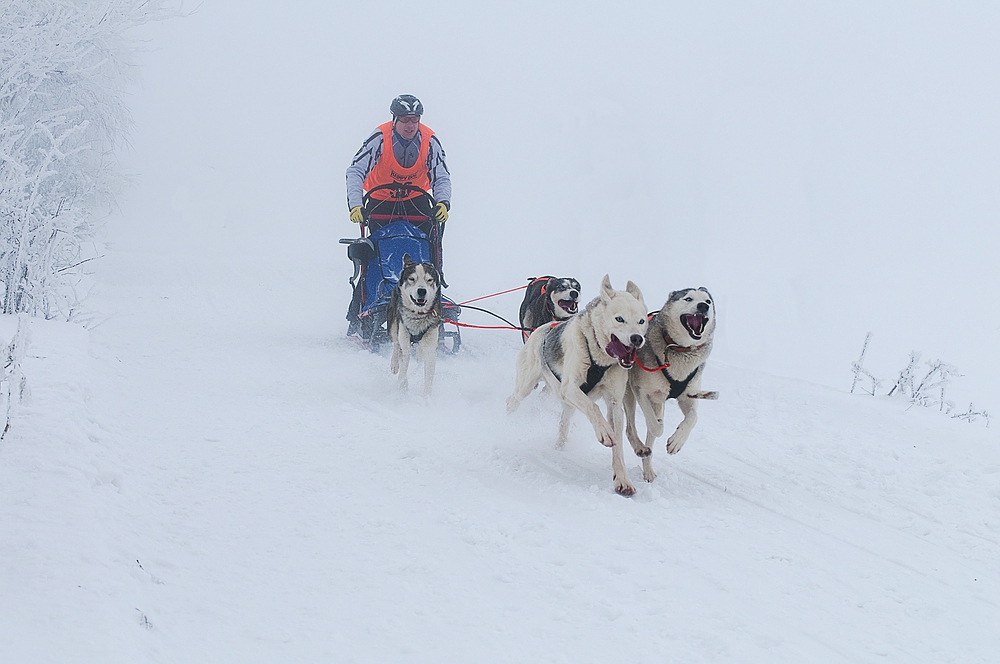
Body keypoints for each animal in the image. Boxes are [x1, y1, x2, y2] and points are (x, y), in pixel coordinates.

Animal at [386, 254, 442, 396]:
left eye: (429, 280)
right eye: (412, 279)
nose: (422, 291)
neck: (418, 315)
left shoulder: (430, 348)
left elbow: (428, 378)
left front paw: (427, 398)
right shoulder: (405, 345)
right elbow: (403, 370)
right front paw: (403, 387)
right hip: (393, 326)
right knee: (396, 343)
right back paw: (394, 363)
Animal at [508, 272, 648, 496]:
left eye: (641, 321)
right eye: (619, 319)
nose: (637, 338)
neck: (600, 358)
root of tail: (541, 329)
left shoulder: (614, 402)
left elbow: (618, 443)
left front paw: (622, 480)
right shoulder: (570, 388)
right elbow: (594, 409)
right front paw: (604, 432)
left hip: (568, 405)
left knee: (563, 425)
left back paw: (559, 446)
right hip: (526, 386)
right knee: (512, 401)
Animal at [620, 288, 716, 480]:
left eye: (708, 301)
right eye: (688, 298)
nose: (703, 306)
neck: (681, 349)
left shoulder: (688, 397)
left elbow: (693, 418)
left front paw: (676, 441)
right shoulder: (641, 390)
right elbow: (655, 426)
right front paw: (660, 426)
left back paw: (648, 471)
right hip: (629, 395)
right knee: (630, 428)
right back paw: (641, 447)